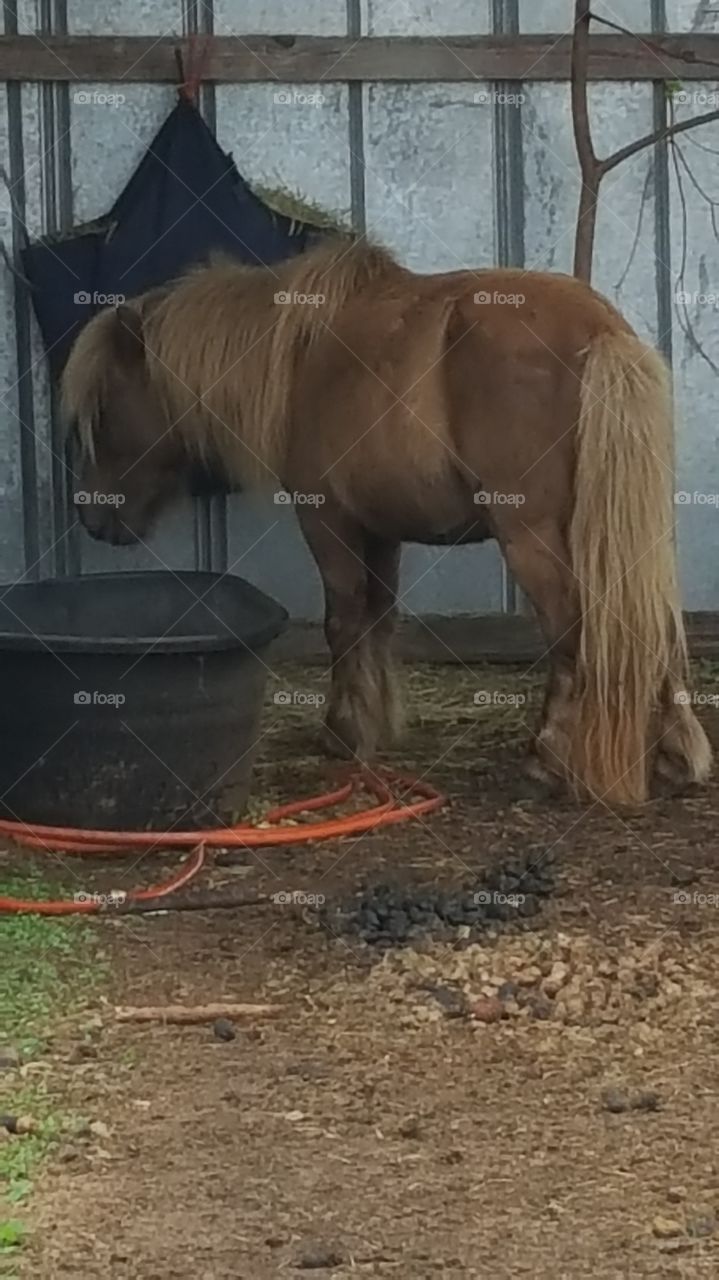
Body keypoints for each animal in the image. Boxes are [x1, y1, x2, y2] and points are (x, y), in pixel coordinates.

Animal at [61, 235, 712, 807]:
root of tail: (601, 332)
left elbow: (344, 620)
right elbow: (379, 618)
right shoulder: (381, 531)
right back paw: (676, 759)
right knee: (653, 623)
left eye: (103, 406)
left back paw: (544, 762)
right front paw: (377, 723)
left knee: (570, 634)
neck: (301, 357)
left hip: (530, 538)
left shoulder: (328, 522)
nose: (93, 517)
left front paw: (345, 733)